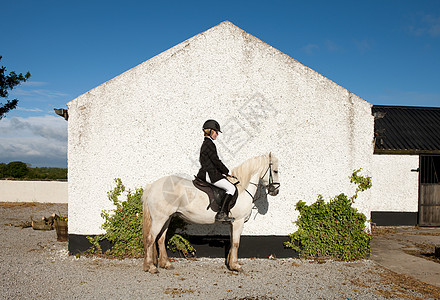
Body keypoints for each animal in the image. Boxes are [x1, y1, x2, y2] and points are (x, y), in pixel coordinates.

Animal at [143, 154, 280, 274]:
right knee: (150, 239)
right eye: (275, 171)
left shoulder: (232, 223)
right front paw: (236, 266)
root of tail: (152, 186)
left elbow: (231, 242)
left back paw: (166, 264)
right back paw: (151, 267)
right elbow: (236, 243)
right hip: (160, 219)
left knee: (160, 239)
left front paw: (230, 264)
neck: (242, 189)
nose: (275, 191)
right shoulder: (238, 222)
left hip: (167, 218)